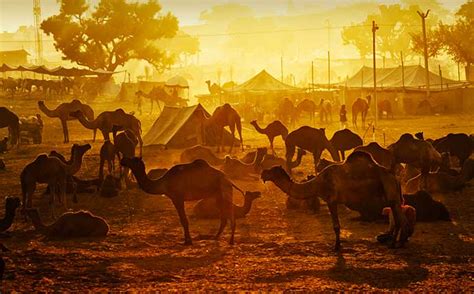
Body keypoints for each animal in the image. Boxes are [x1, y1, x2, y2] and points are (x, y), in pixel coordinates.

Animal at [120, 157, 250, 245]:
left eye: (133, 160)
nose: (122, 160)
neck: (164, 183)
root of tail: (229, 180)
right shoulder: (176, 198)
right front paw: (188, 240)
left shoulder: (177, 198)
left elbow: (184, 220)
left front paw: (188, 241)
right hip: (218, 196)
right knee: (224, 217)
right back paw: (215, 237)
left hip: (225, 192)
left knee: (230, 215)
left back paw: (231, 240)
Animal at [262, 150, 406, 249]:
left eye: (272, 170)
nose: (263, 174)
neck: (318, 183)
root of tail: (395, 177)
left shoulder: (331, 200)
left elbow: (336, 226)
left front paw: (336, 247)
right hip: (394, 199)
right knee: (397, 219)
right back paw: (395, 243)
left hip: (392, 194)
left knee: (398, 220)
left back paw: (392, 244)